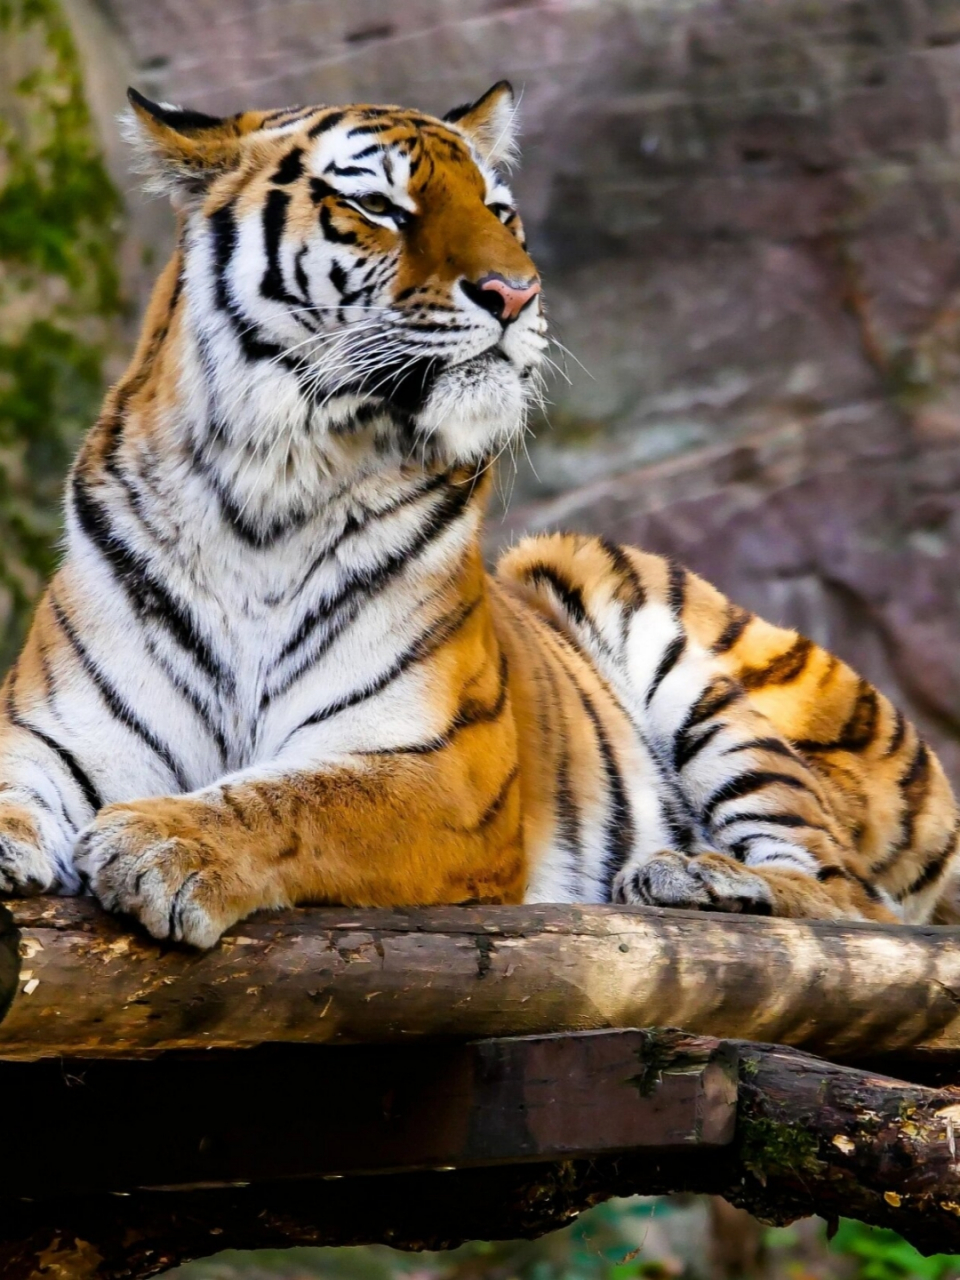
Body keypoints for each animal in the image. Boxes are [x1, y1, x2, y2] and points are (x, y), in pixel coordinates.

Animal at [0, 81, 956, 949]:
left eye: (500, 210)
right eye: (378, 206)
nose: (516, 293)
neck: (268, 493)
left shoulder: (437, 768)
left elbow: (294, 800)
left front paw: (159, 841)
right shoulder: (57, 729)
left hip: (637, 612)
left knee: (852, 902)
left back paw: (697, 877)